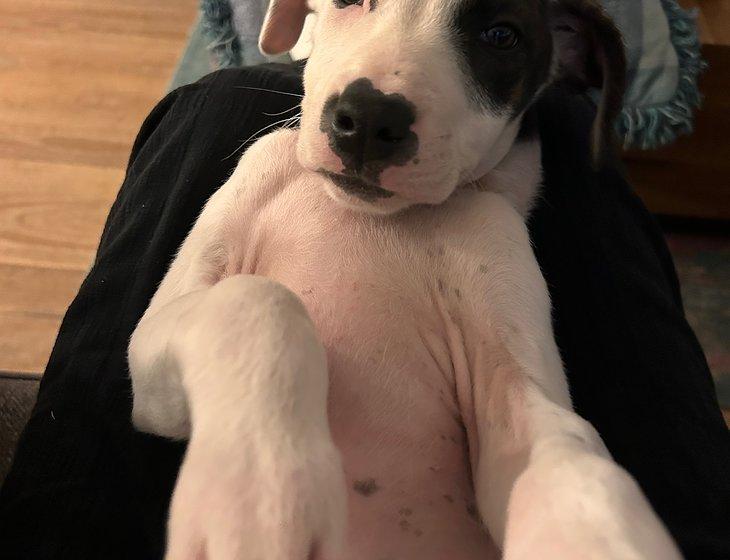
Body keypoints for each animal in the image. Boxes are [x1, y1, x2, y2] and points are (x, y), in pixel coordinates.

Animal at [129, 1, 684, 560]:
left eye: (501, 36)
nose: (369, 120)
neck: (372, 219)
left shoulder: (514, 375)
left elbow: (575, 467)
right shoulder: (155, 350)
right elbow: (254, 299)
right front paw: (261, 485)